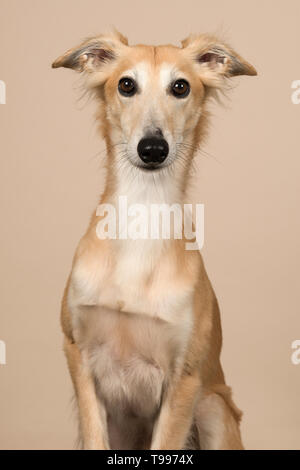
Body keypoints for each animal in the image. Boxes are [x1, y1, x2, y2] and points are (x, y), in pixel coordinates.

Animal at [52, 31, 256, 450]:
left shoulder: (186, 378)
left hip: (213, 407)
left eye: (180, 87)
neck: (141, 217)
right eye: (126, 85)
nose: (152, 149)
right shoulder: (77, 352)